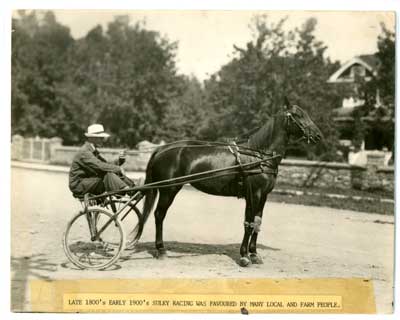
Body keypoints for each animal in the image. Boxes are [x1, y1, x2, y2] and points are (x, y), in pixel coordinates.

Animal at [138, 99, 322, 266]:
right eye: (298, 115)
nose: (318, 135)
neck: (258, 155)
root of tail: (161, 149)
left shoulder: (263, 196)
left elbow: (257, 222)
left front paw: (254, 254)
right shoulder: (253, 194)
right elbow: (248, 223)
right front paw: (244, 256)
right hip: (169, 189)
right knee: (159, 215)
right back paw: (161, 249)